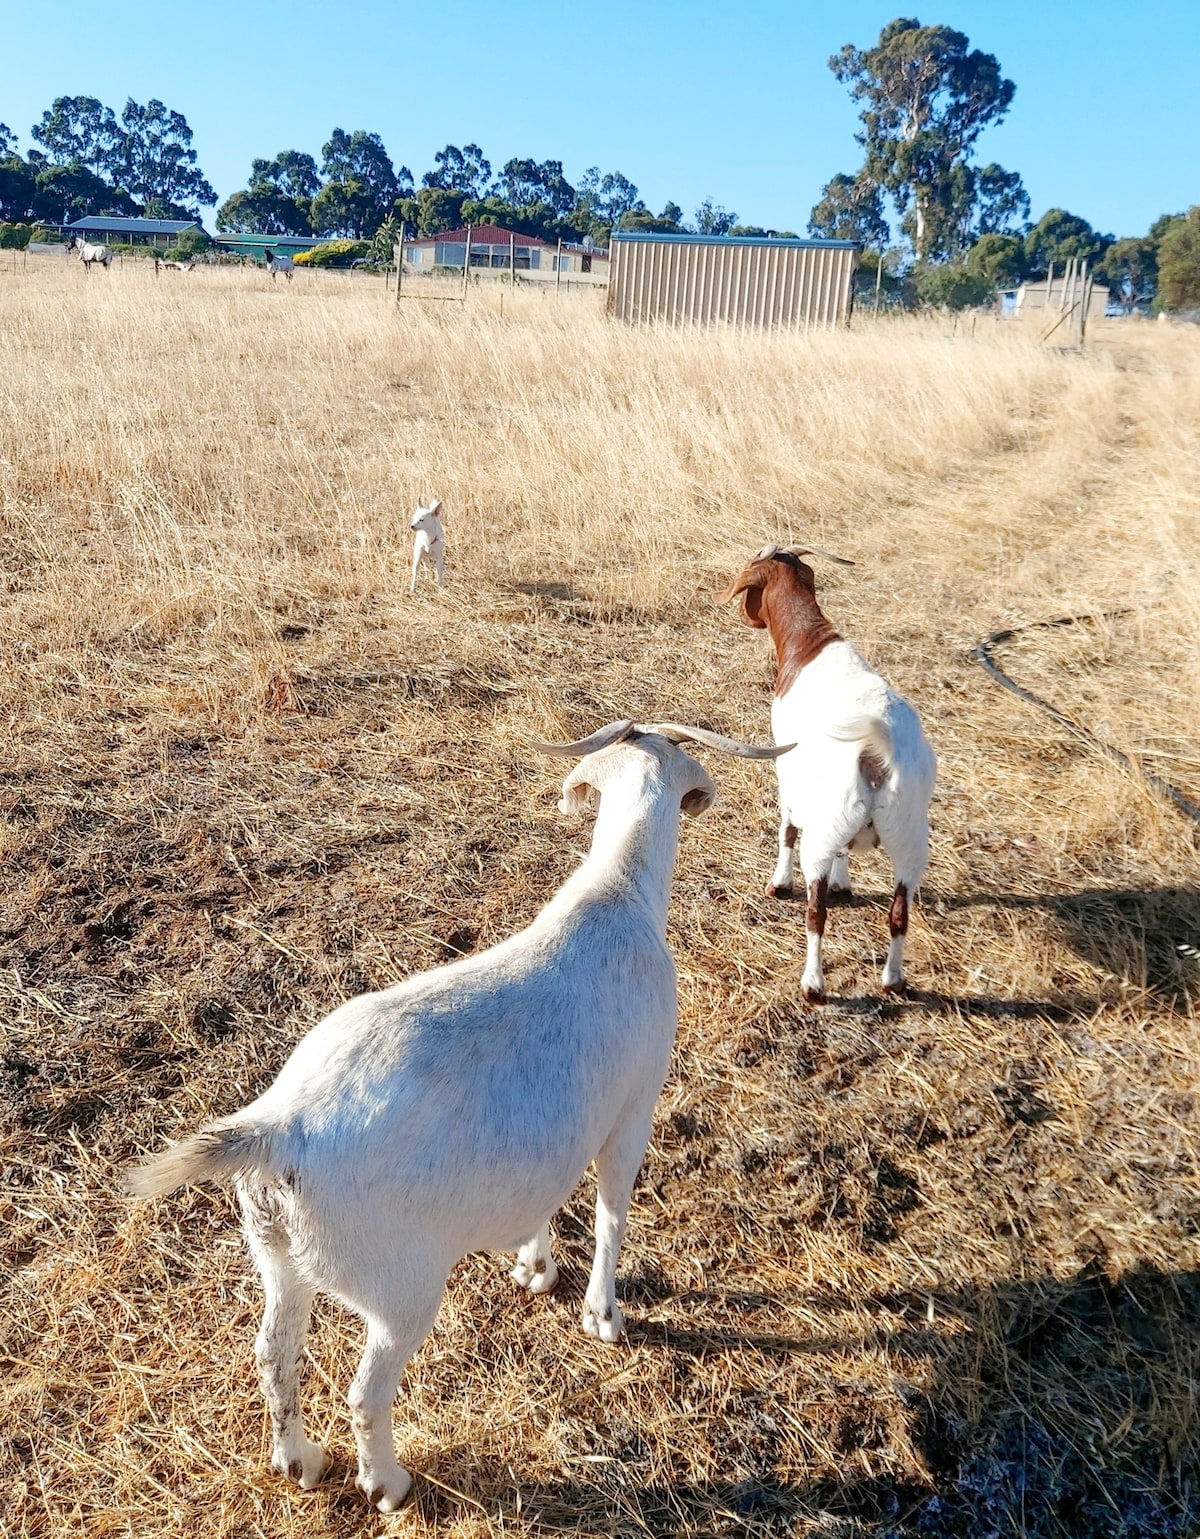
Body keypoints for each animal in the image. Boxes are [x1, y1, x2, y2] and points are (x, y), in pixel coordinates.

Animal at [129, 723, 787, 1514]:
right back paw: (387, 1482)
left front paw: (534, 1266)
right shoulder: (632, 1107)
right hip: (399, 1288)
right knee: (365, 1391)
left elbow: (541, 1195)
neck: (619, 890)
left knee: (274, 1353)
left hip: (281, 1258)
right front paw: (603, 1314)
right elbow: (611, 1212)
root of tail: (279, 1128)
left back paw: (299, 1461)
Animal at [723, 547, 935, 1003]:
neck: (810, 644)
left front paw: (778, 882)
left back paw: (813, 984)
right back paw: (893, 979)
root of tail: (876, 753)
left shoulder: (787, 765)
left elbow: (786, 828)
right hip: (909, 839)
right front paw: (844, 881)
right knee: (899, 913)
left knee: (815, 912)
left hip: (820, 839)